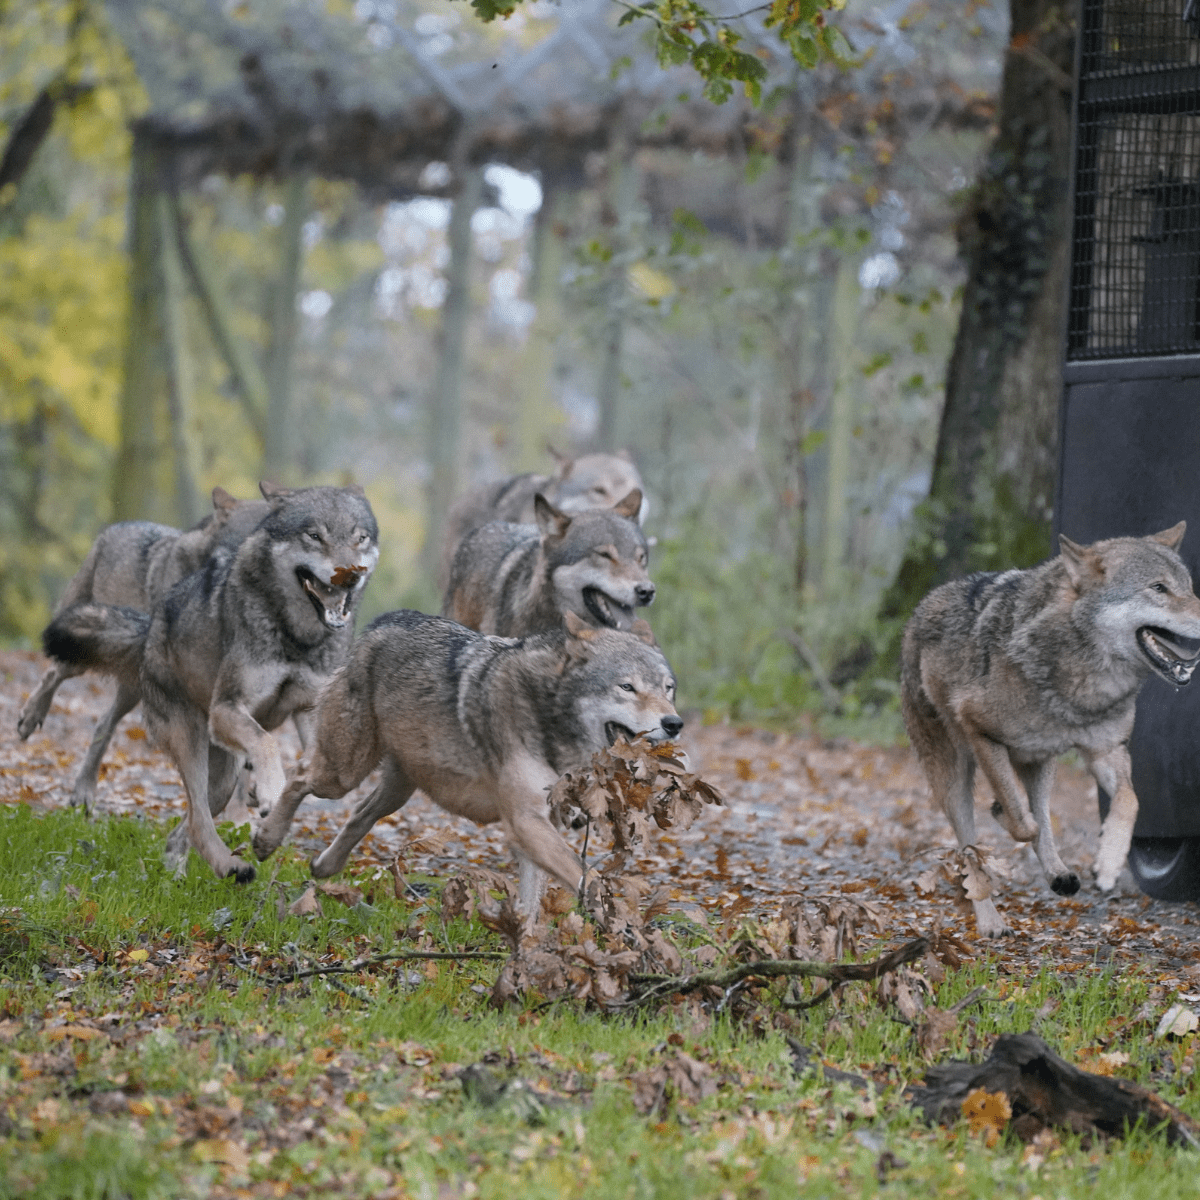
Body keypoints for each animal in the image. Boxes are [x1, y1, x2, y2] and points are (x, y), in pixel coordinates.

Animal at [16, 488, 270, 813]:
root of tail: (113, 528)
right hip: (87, 651)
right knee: (53, 674)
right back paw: (31, 719)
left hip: (130, 685)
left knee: (104, 723)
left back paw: (84, 789)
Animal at [252, 610, 683, 912]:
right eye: (627, 687)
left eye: (668, 689)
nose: (674, 723)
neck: (546, 715)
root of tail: (384, 621)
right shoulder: (525, 821)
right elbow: (589, 878)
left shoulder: (540, 824)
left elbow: (532, 904)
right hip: (343, 772)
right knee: (298, 776)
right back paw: (266, 840)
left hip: (397, 790)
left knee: (360, 813)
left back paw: (324, 867)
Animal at [901, 524, 1200, 938]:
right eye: (1159, 588)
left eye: (1189, 588)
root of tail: (921, 606)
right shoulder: (981, 730)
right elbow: (1020, 823)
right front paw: (1007, 819)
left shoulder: (1106, 750)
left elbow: (1129, 802)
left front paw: (1108, 863)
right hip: (955, 779)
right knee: (972, 847)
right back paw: (991, 921)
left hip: (1041, 763)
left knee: (1040, 812)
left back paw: (1059, 874)